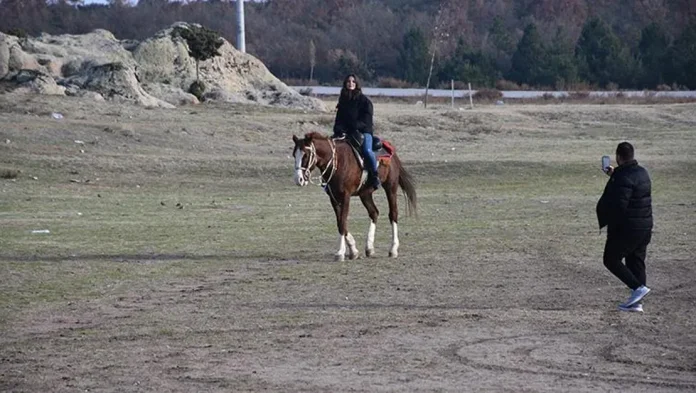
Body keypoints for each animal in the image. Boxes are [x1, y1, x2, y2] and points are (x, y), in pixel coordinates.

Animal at [290, 132, 416, 260]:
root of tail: (392, 152)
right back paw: (369, 248)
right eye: (294, 155)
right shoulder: (333, 198)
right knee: (374, 212)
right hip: (365, 194)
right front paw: (353, 250)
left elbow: (342, 222)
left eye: (305, 155)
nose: (298, 179)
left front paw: (340, 252)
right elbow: (340, 222)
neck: (337, 162)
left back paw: (393, 249)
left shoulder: (346, 196)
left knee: (393, 214)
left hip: (391, 187)